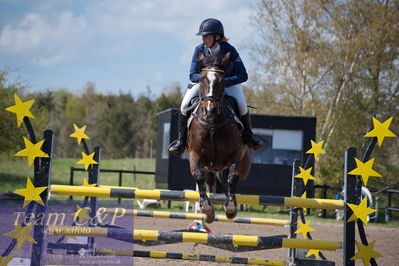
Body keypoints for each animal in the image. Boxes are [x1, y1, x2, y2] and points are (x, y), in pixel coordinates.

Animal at [188, 51, 253, 222]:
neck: (212, 124)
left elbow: (232, 178)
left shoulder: (235, 155)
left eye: (222, 81)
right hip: (208, 167)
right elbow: (198, 176)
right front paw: (206, 209)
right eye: (201, 79)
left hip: (244, 166)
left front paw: (230, 208)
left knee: (235, 178)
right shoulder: (195, 154)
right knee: (209, 181)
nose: (209, 111)